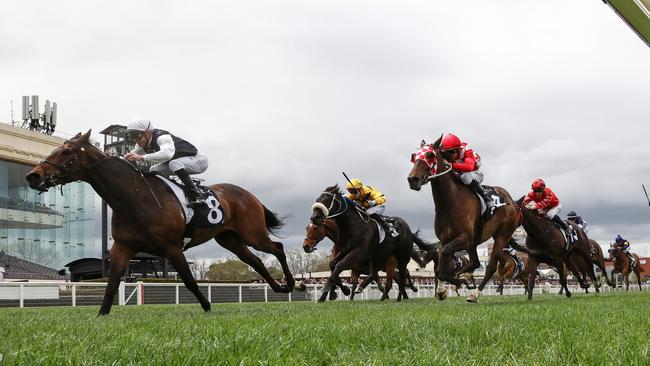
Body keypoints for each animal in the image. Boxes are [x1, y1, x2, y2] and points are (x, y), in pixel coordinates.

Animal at [25, 131, 294, 314]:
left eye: (67, 151)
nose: (33, 175)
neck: (133, 198)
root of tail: (249, 194)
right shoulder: (122, 247)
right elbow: (111, 285)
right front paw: (102, 315)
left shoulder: (171, 248)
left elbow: (189, 281)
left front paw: (208, 307)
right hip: (230, 239)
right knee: (256, 260)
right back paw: (279, 288)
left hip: (253, 233)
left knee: (277, 249)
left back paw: (291, 284)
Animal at [404, 138, 516, 304]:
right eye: (414, 156)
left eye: (430, 155)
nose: (413, 179)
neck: (450, 202)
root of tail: (512, 202)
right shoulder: (445, 239)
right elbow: (440, 264)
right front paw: (443, 290)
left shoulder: (465, 237)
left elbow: (444, 256)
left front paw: (457, 282)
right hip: (474, 243)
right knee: (475, 262)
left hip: (502, 235)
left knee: (490, 266)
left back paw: (474, 293)